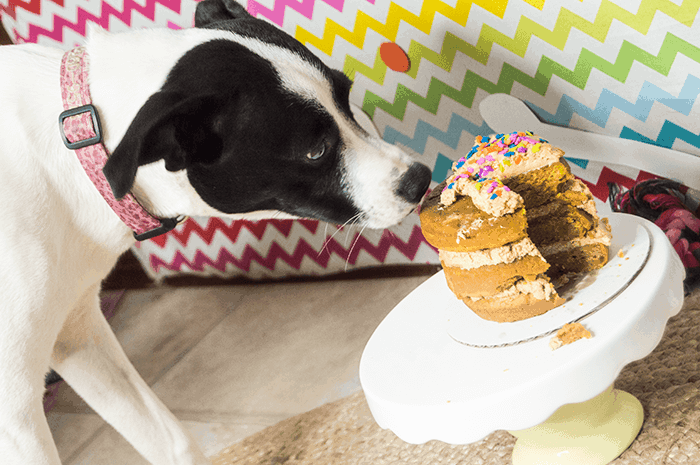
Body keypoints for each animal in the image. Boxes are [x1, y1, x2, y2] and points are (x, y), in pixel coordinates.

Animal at [0, 0, 432, 460]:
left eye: (346, 97)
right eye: (316, 150)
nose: (419, 180)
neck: (74, 141)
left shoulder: (78, 334)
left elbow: (174, 441)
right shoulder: (15, 417)